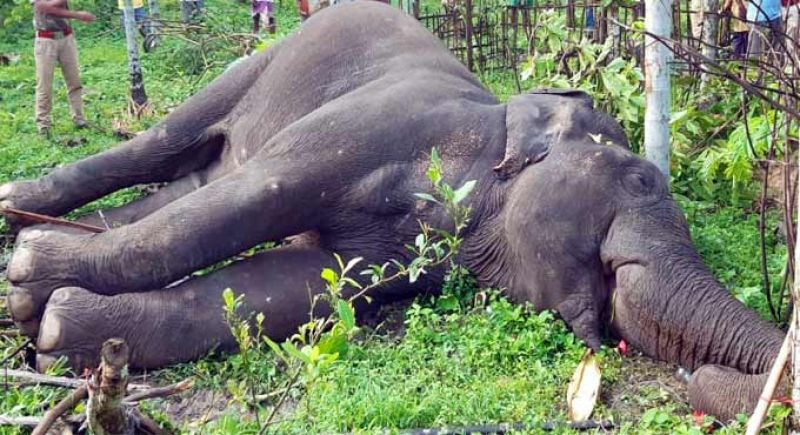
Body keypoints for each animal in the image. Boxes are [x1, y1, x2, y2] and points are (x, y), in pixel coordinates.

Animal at [0, 1, 783, 421]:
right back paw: (21, 216)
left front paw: (58, 324)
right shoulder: (382, 120)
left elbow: (296, 289)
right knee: (168, 144)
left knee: (182, 183)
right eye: (641, 177)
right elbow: (261, 195)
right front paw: (32, 286)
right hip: (264, 58)